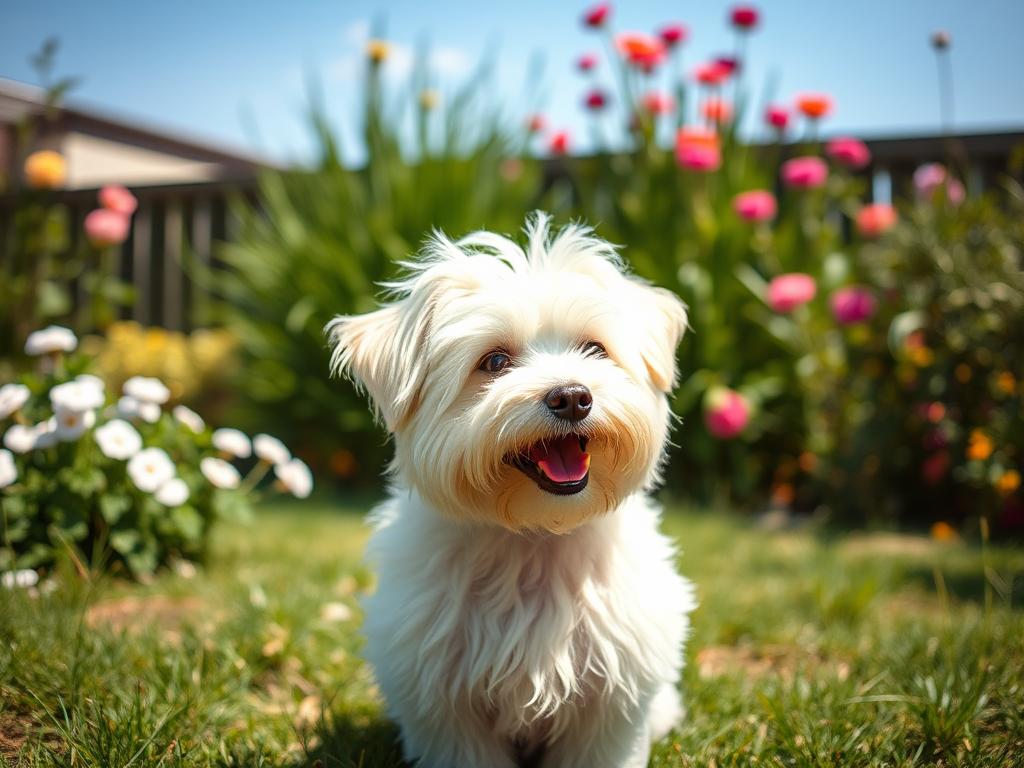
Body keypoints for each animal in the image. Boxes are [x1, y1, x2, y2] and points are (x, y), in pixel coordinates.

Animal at [327, 211, 696, 768]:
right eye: (495, 362)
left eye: (595, 349)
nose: (572, 396)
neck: (535, 536)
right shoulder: (444, 704)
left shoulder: (613, 697)